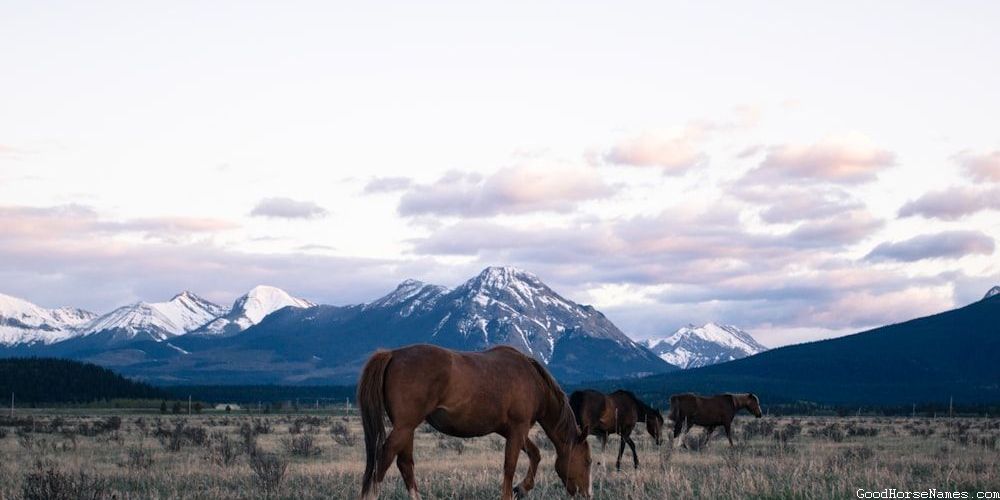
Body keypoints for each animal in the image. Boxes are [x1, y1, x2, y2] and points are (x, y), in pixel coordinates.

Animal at [357, 344, 592, 500]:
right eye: (588, 461)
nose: (587, 494)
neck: (534, 382)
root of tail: (393, 354)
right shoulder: (518, 428)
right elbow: (510, 467)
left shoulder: (512, 431)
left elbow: (535, 454)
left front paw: (523, 488)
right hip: (404, 427)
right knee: (383, 460)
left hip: (407, 428)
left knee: (405, 465)